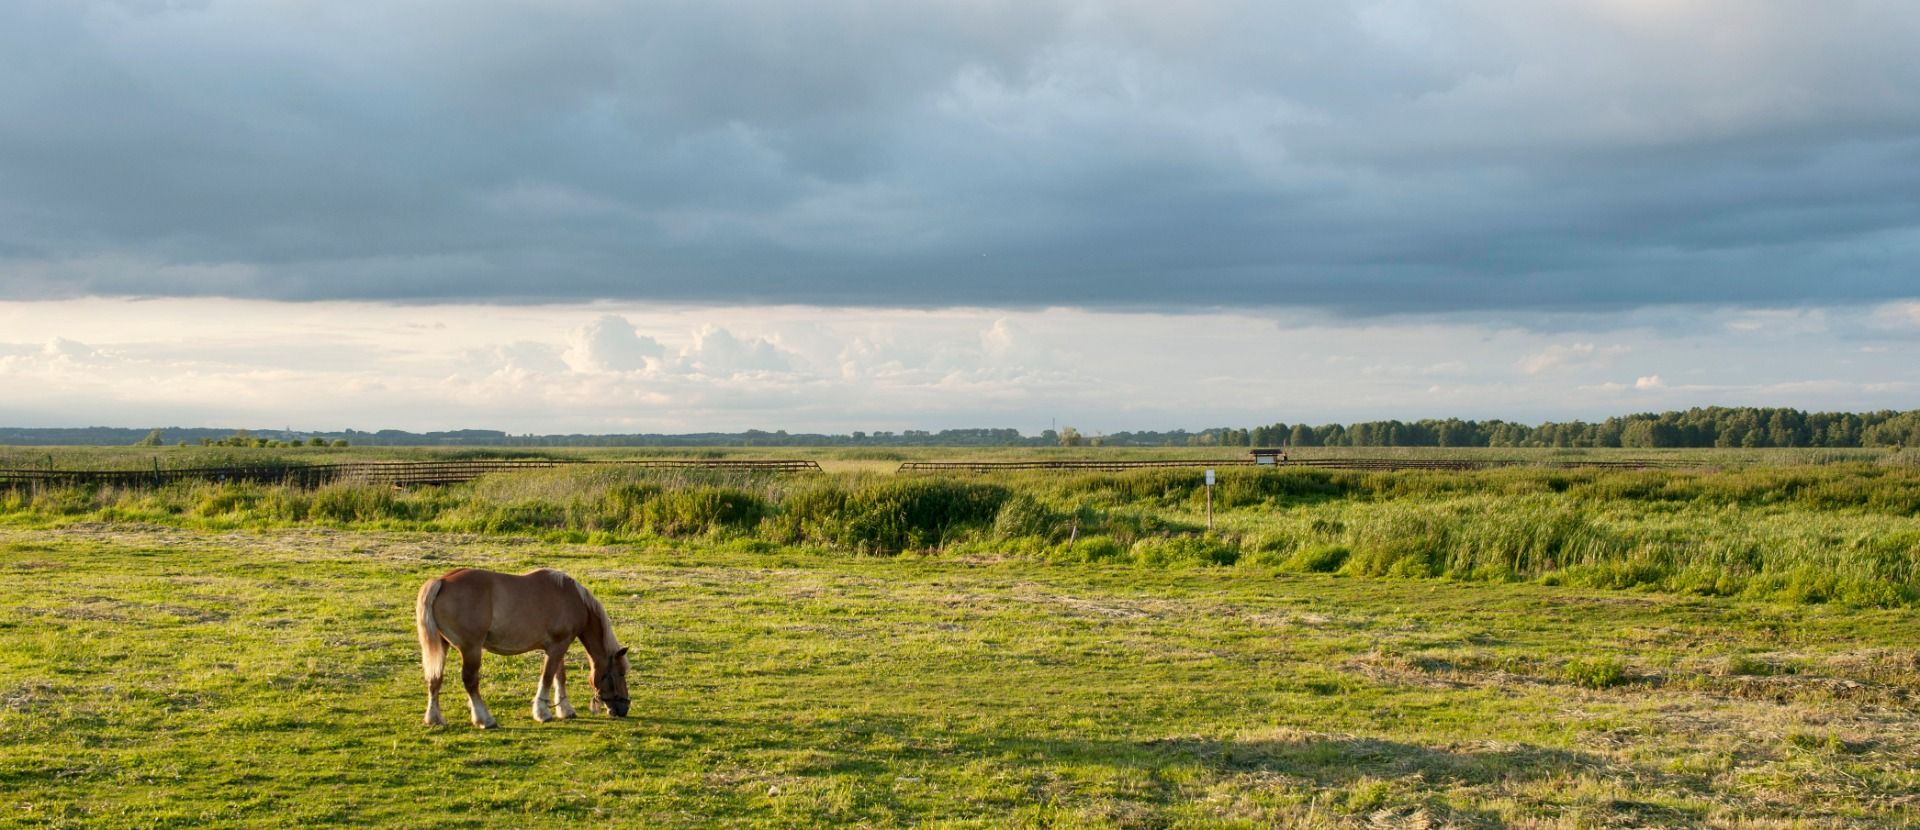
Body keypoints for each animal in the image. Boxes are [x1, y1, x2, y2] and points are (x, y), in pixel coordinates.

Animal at [416, 568, 633, 730]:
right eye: (621, 673)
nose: (624, 708)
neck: (573, 599)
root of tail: (442, 580)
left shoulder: (558, 647)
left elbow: (559, 677)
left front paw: (565, 710)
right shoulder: (557, 647)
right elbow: (547, 677)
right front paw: (542, 712)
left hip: (442, 646)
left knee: (435, 679)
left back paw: (434, 718)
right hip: (471, 649)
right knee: (470, 681)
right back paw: (485, 719)